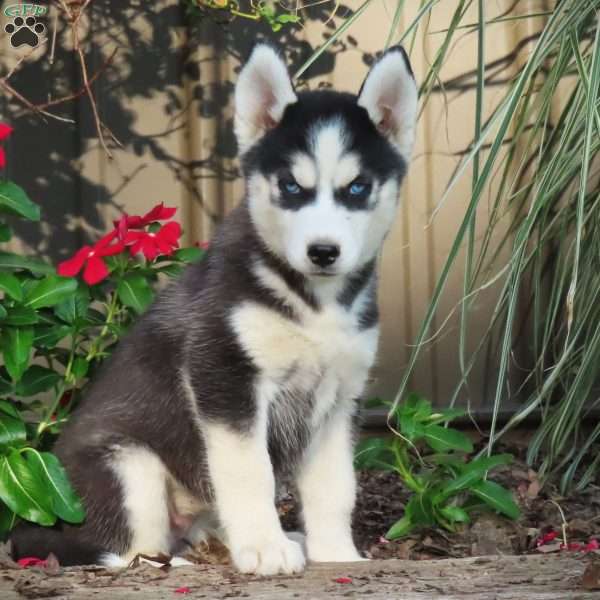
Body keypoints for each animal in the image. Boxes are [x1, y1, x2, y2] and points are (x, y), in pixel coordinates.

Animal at [12, 44, 418, 576]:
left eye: (357, 188)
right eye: (291, 186)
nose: (323, 252)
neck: (314, 303)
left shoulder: (338, 400)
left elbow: (335, 487)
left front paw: (336, 554)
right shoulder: (225, 377)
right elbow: (250, 473)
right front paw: (265, 549)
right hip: (129, 467)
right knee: (122, 549)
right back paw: (169, 562)